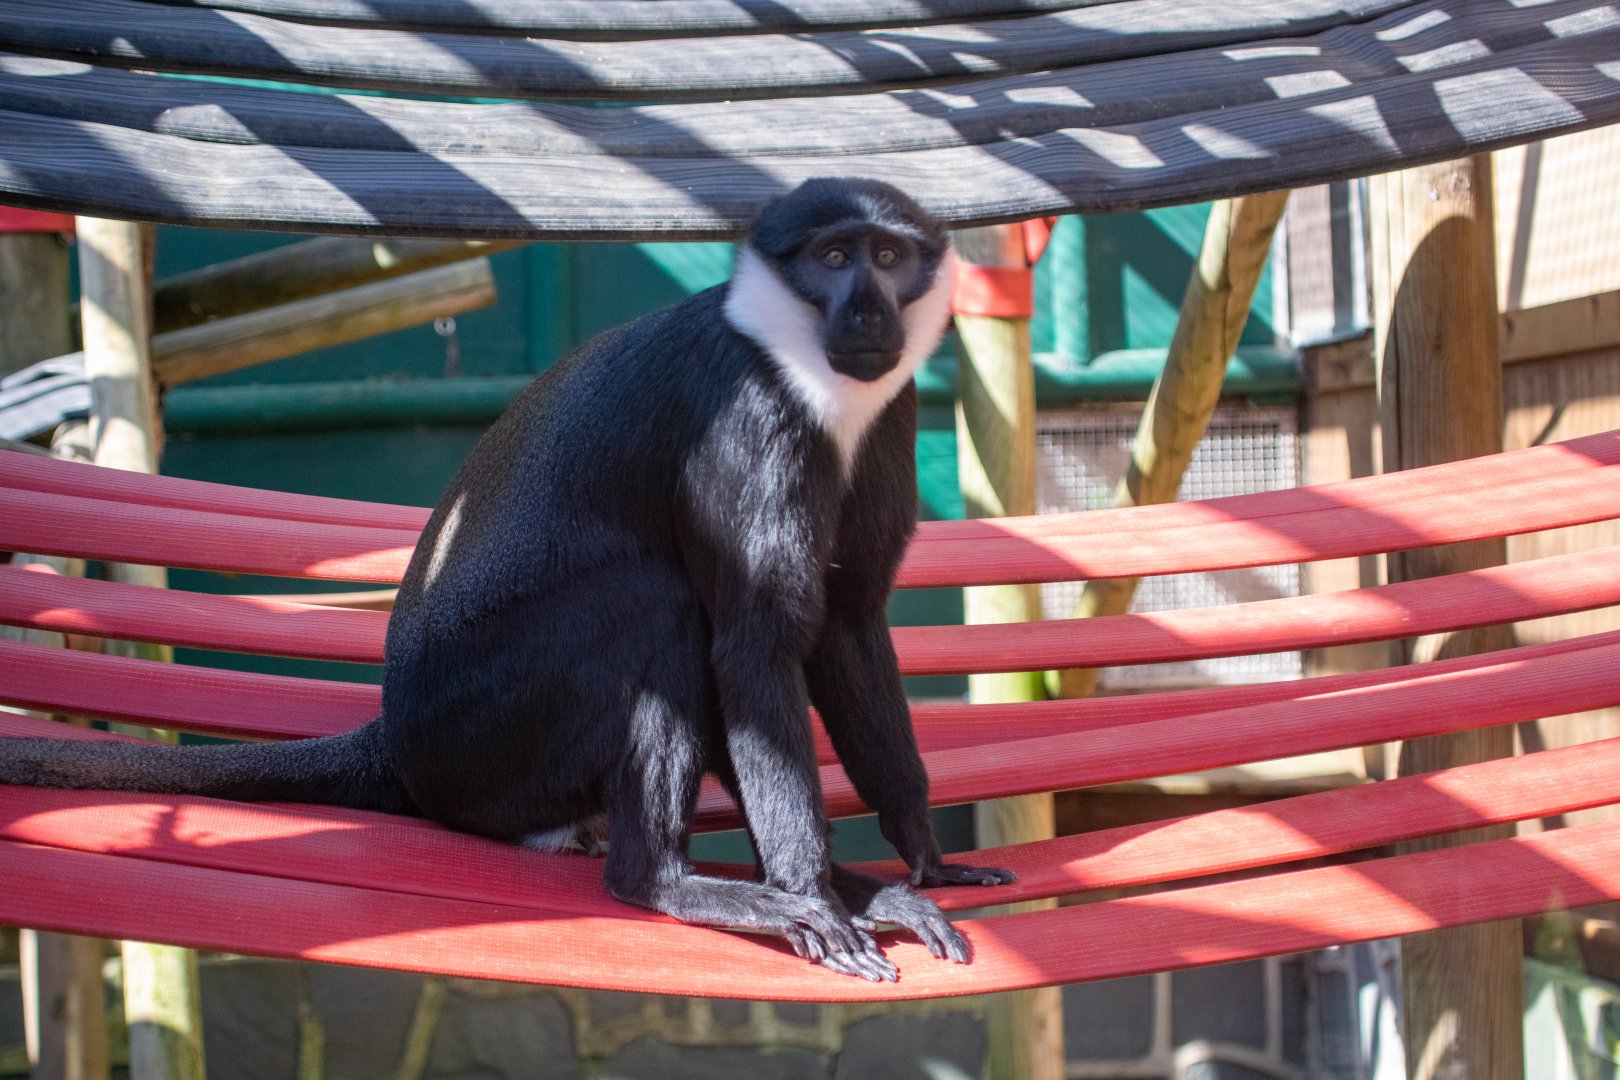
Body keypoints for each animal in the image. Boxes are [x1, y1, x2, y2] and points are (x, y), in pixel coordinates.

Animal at [0, 178, 1015, 981]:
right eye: (835, 256)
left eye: (888, 257)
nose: (868, 312)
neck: (804, 375)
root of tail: (396, 738)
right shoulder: (749, 424)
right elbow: (754, 642)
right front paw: (810, 894)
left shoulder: (889, 417)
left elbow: (848, 621)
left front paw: (917, 858)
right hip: (488, 733)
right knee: (659, 608)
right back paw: (674, 884)